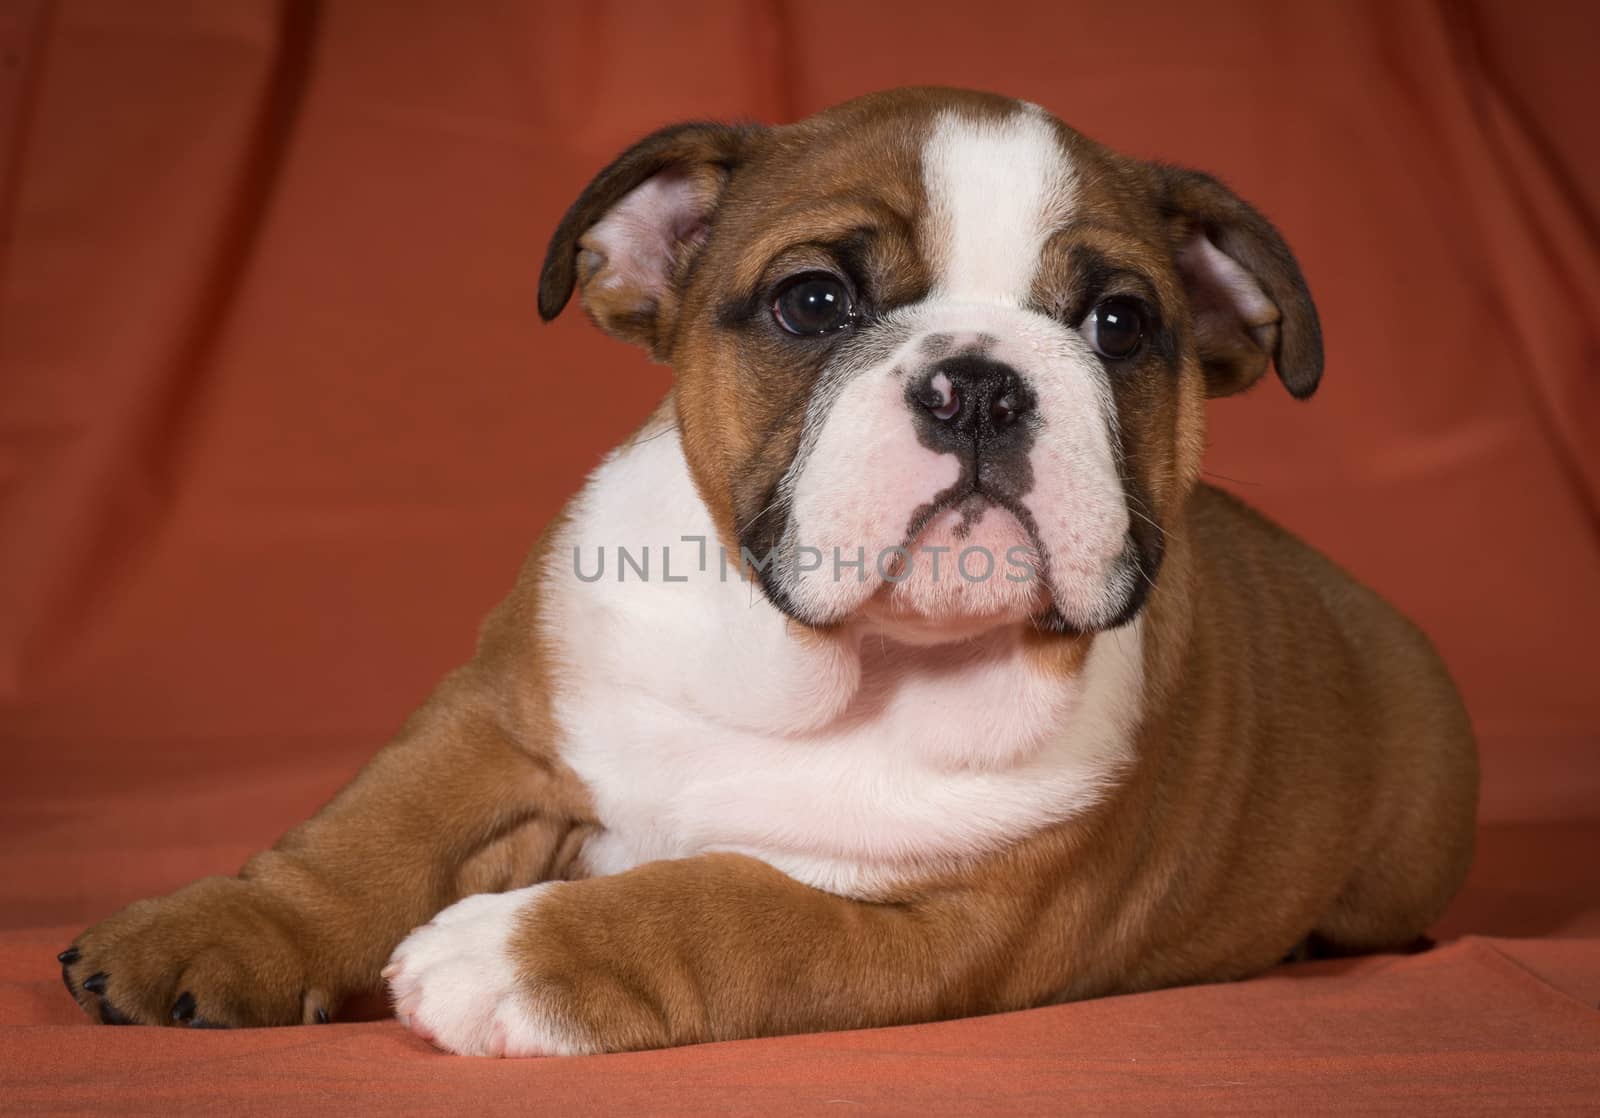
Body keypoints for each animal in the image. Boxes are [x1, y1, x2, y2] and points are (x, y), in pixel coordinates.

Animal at [62, 89, 1472, 1055]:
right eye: (812, 302)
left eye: (1119, 324)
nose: (979, 382)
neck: (824, 661)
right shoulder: (499, 719)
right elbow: (362, 834)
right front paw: (215, 930)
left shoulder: (933, 928)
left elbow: (720, 902)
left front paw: (506, 954)